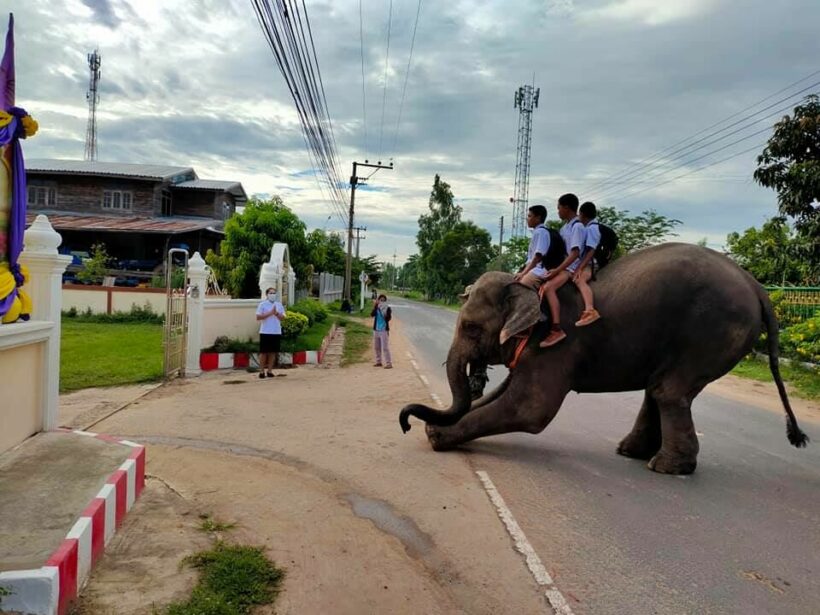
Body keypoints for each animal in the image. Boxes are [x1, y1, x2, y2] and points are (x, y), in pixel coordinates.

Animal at [398, 243, 808, 474]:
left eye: (469, 328)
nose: (405, 422)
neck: (527, 286)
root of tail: (757, 286)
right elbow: (506, 395)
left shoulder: (556, 344)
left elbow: (529, 408)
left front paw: (435, 437)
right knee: (659, 389)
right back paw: (632, 453)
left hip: (711, 332)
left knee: (669, 391)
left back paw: (665, 468)